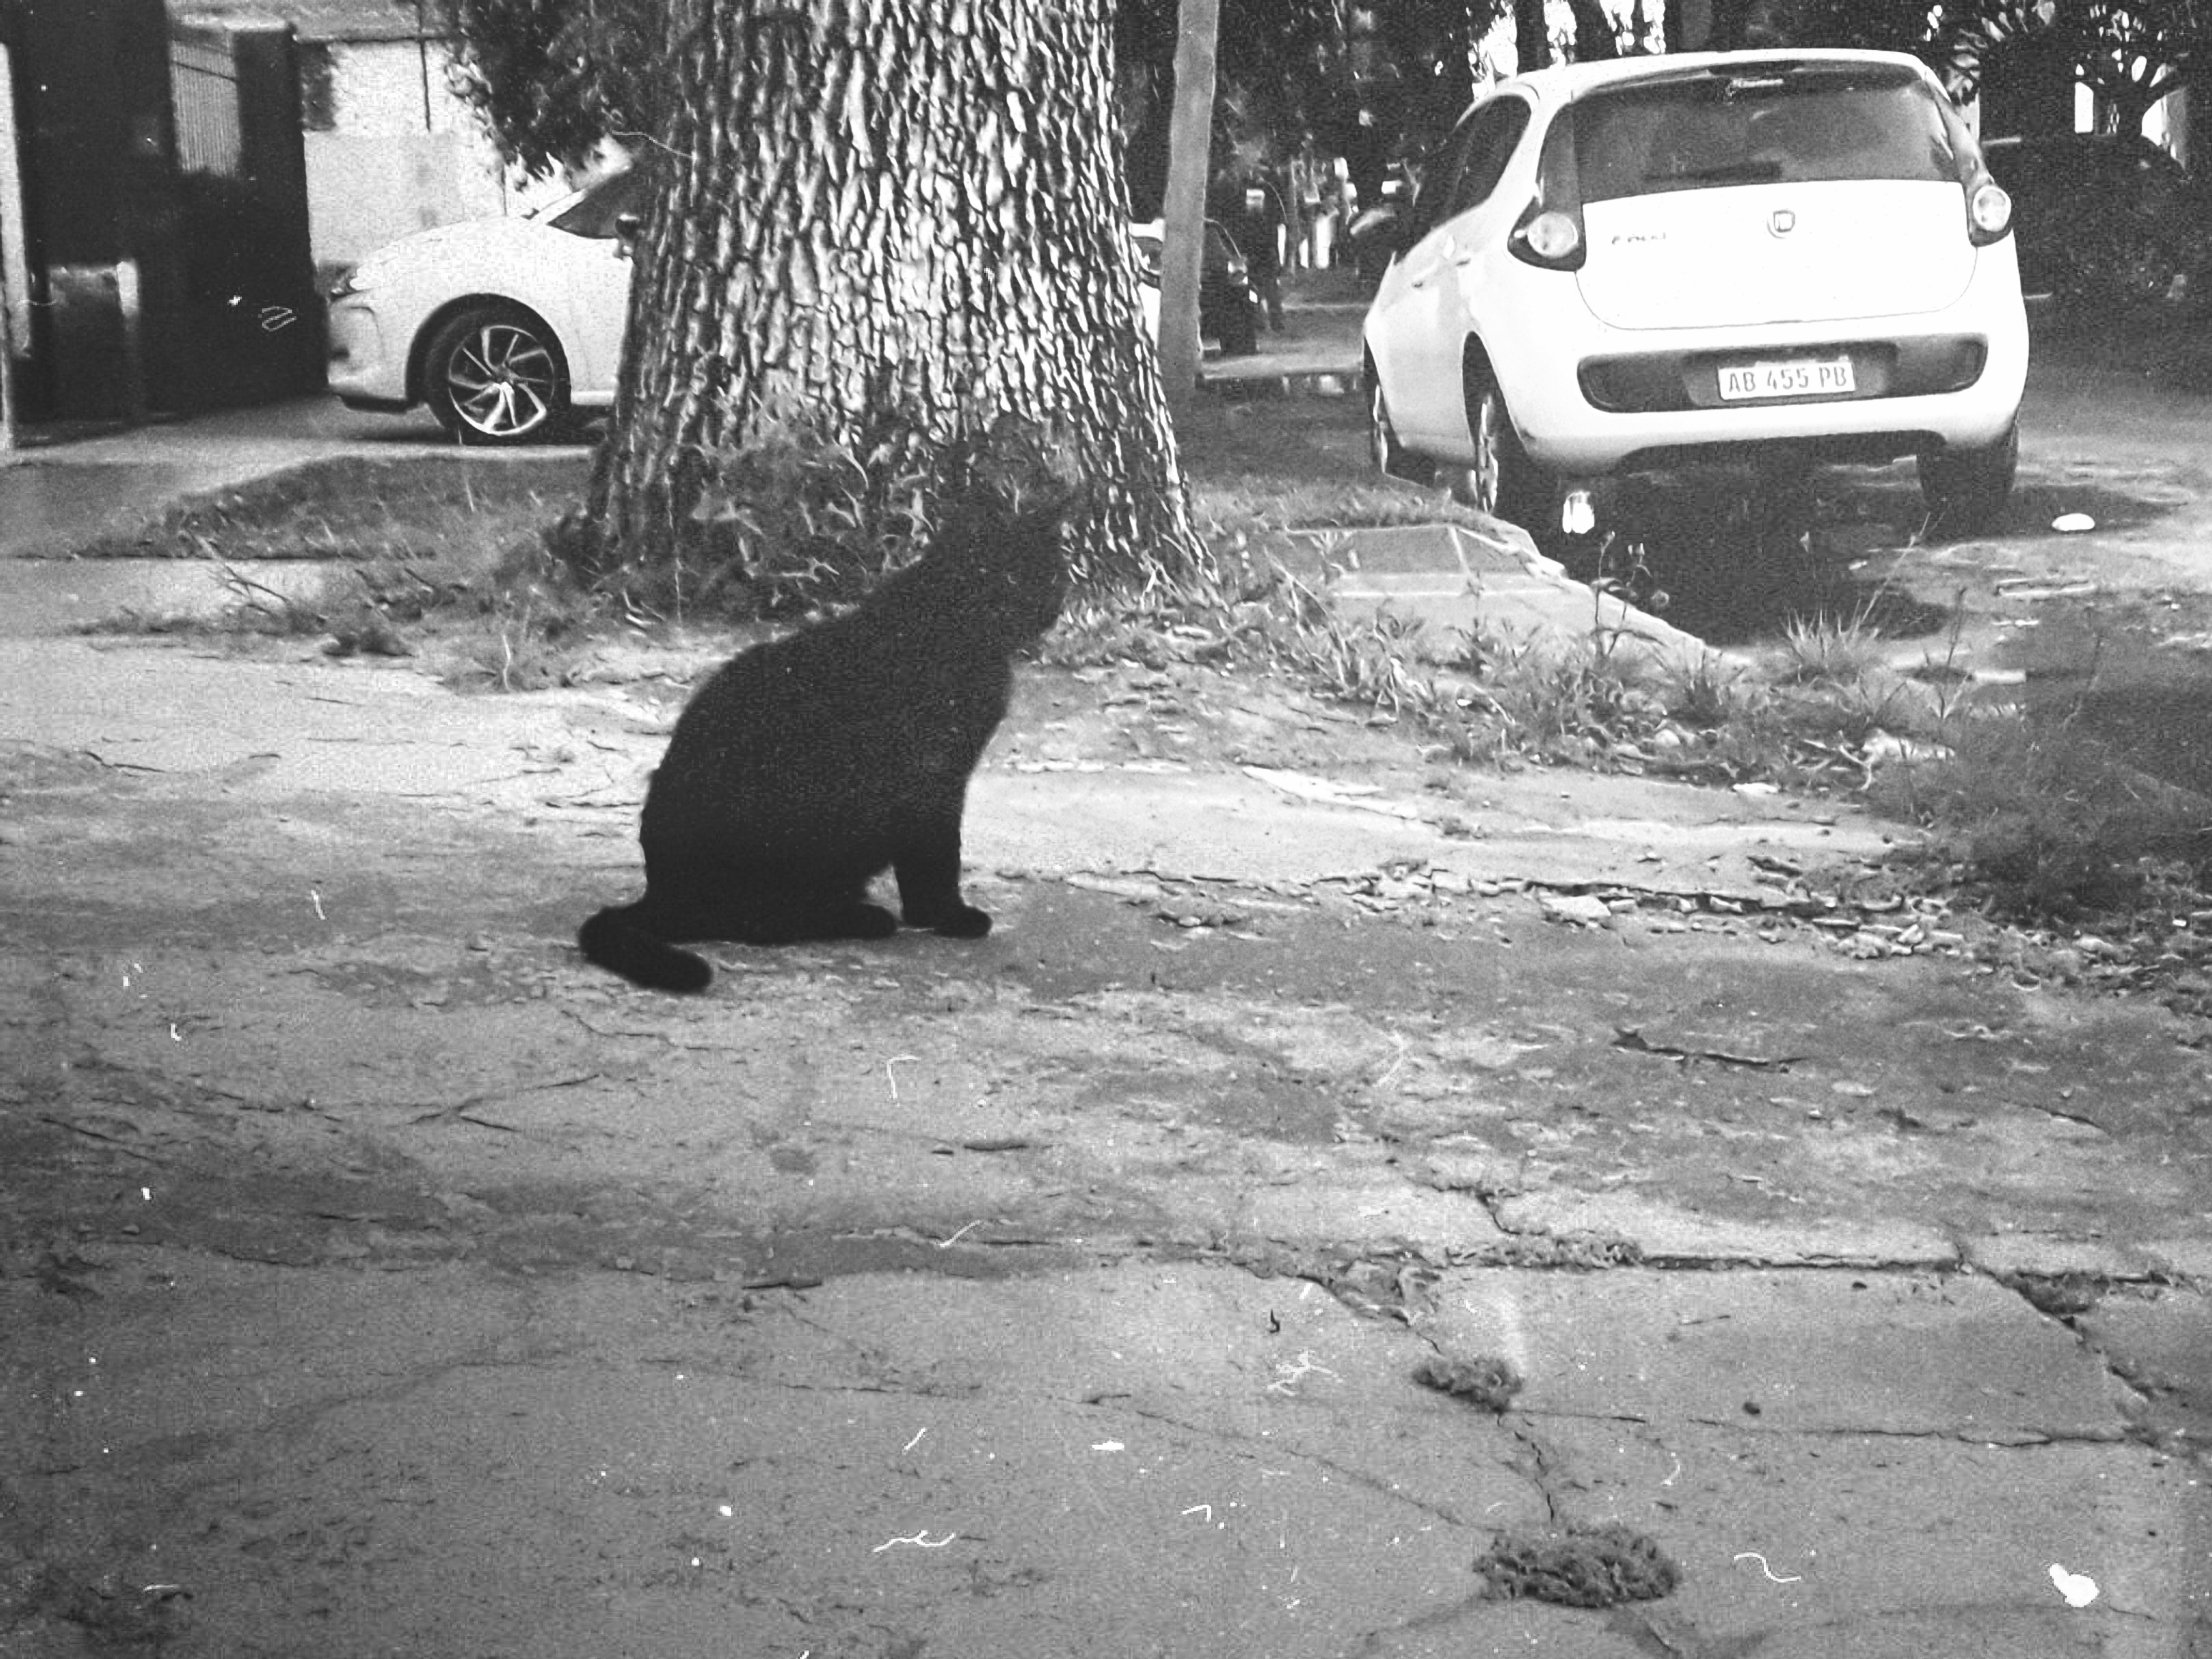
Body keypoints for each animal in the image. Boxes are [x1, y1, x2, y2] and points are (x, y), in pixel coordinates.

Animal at [579, 487, 1070, 995]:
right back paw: (861, 918)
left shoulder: (945, 777)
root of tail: (657, 894)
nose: (1047, 605)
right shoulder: (931, 776)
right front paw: (946, 916)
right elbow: (937, 855)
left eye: (1053, 571)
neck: (962, 640)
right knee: (750, 921)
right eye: (1010, 575)